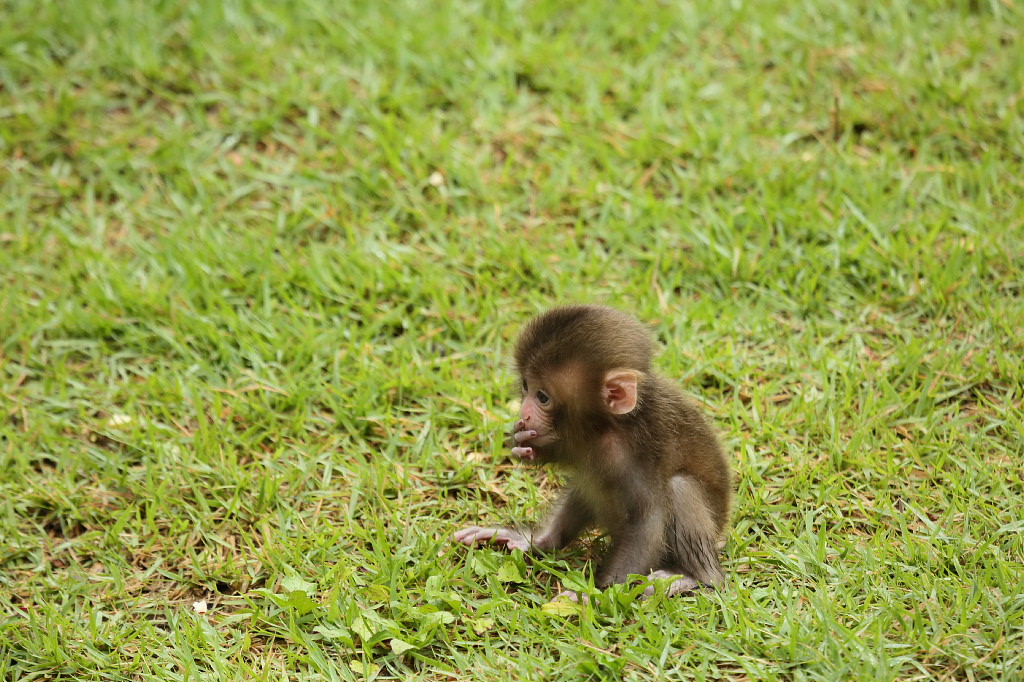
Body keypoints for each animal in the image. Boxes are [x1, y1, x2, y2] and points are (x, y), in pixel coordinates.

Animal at [454, 303, 729, 593]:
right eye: (526, 386)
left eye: (543, 397)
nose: (524, 414)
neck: (606, 427)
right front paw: (523, 443)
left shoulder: (635, 455)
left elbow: (649, 521)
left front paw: (596, 595)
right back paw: (540, 541)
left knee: (680, 487)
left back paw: (698, 577)